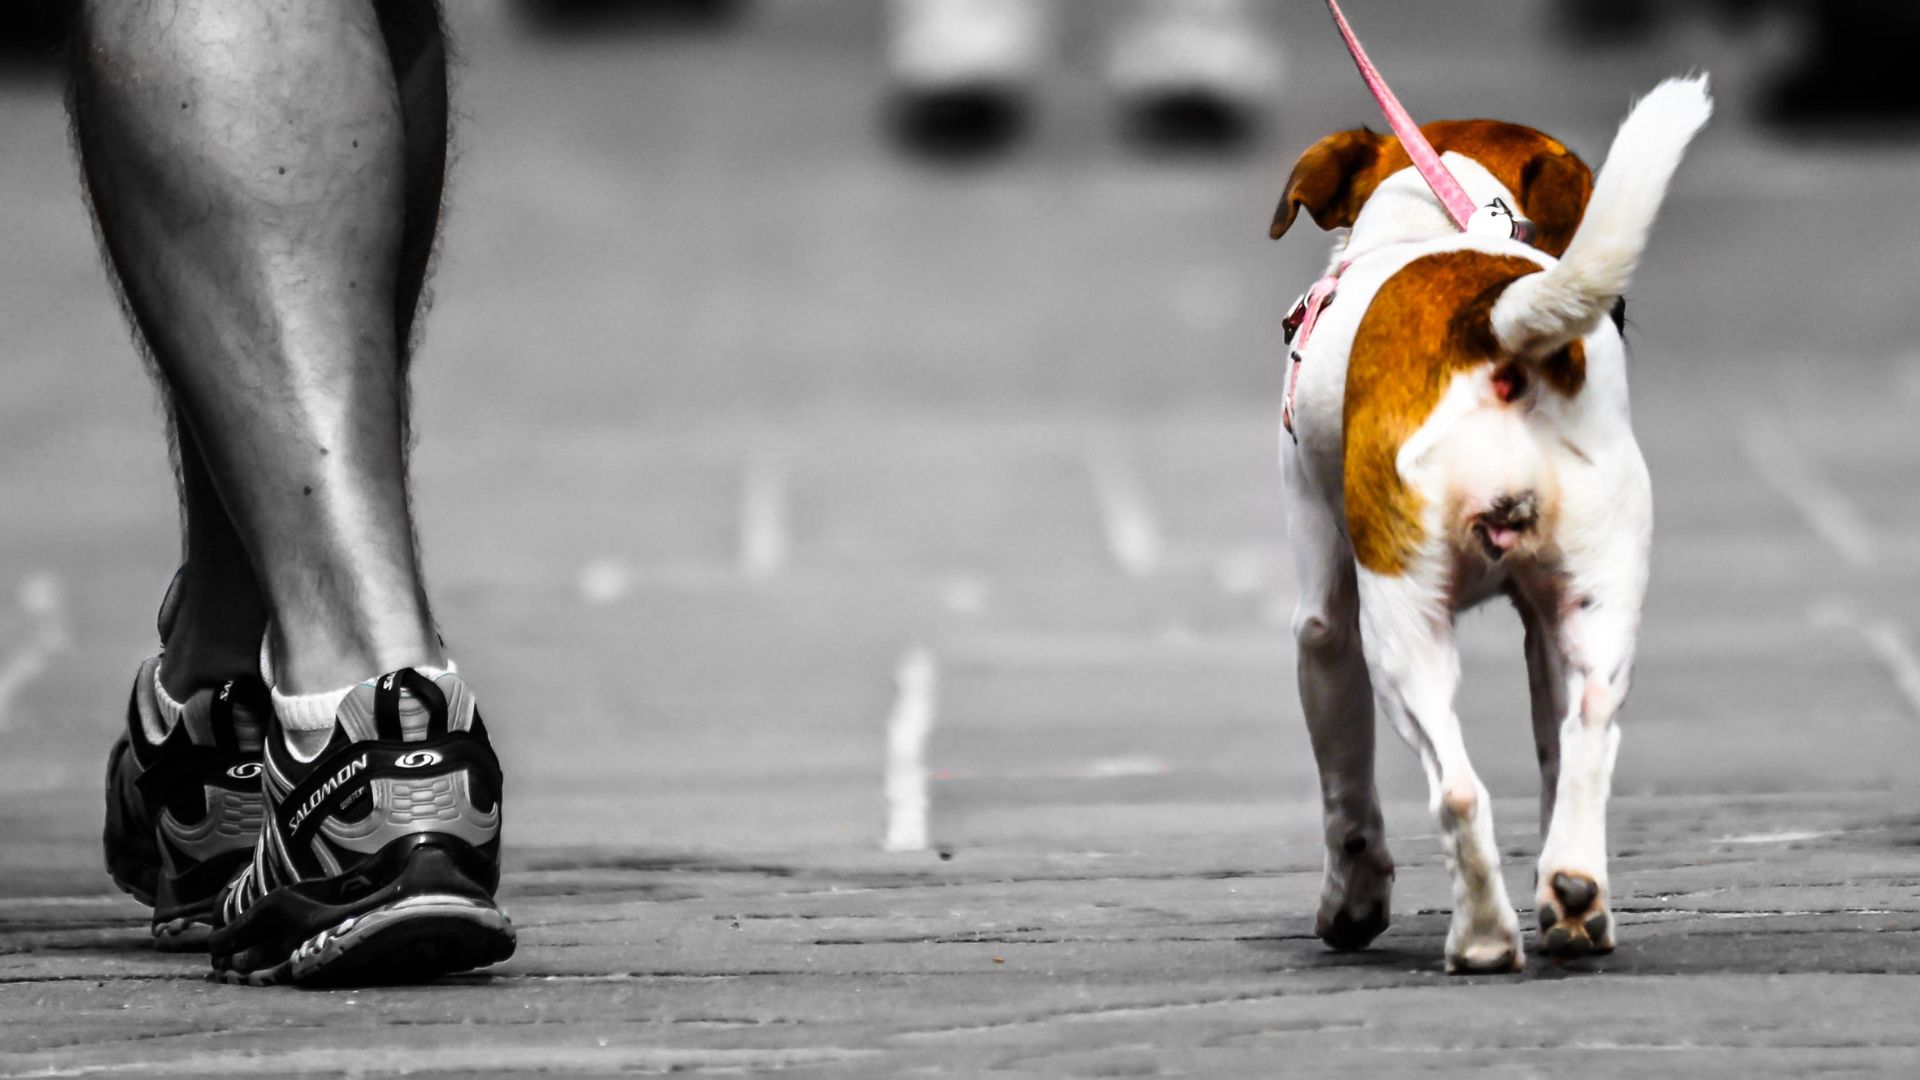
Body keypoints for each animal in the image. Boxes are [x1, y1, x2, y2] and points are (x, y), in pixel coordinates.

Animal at [1274, 75, 1712, 968]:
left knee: (1458, 791)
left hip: (1401, 628)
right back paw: (1574, 900)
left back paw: (1481, 937)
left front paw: (1351, 906)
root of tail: (1490, 321)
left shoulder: (1324, 624)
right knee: (1588, 735)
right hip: (1597, 603)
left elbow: (1346, 794)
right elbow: (1552, 750)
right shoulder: (1544, 626)